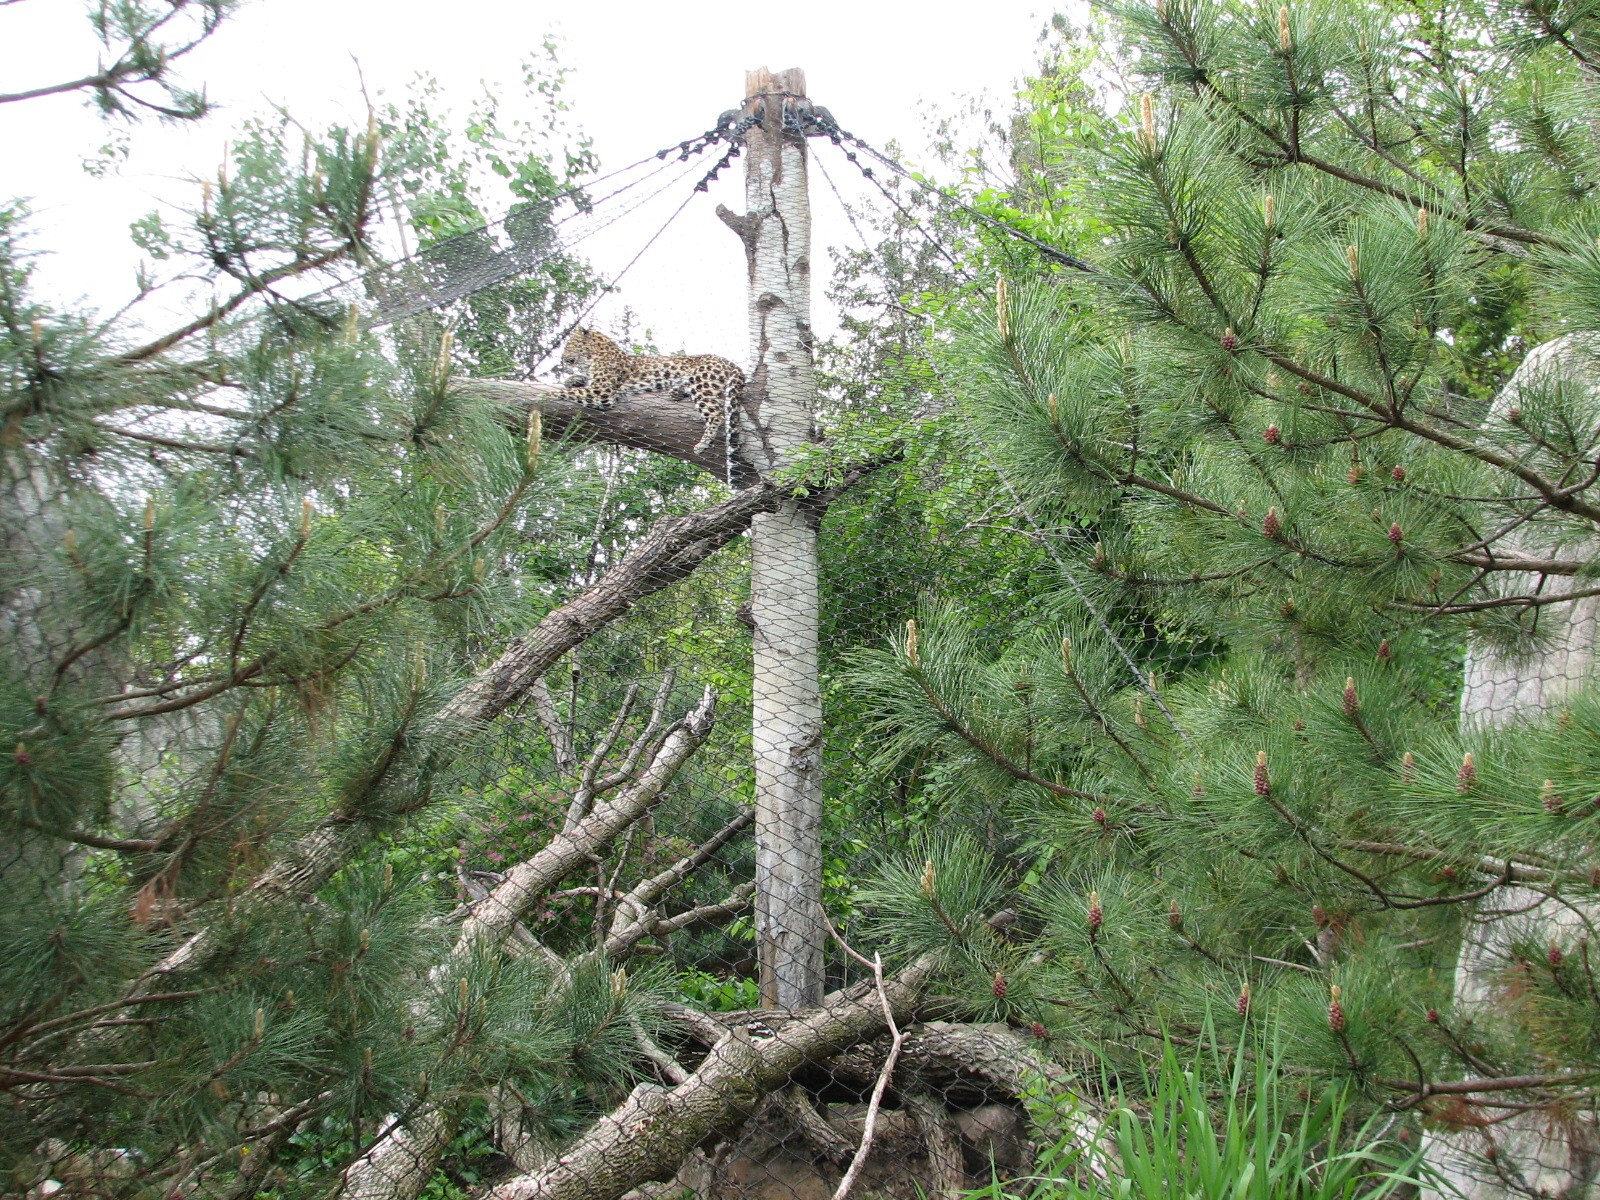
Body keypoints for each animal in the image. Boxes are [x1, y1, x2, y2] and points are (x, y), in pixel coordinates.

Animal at [554, 327, 744, 457]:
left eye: (569, 345)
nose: (562, 358)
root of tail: (729, 362)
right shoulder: (596, 385)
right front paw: (572, 380)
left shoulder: (602, 392)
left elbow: (571, 393)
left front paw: (548, 394)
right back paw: (676, 391)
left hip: (703, 384)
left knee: (717, 414)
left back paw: (702, 444)